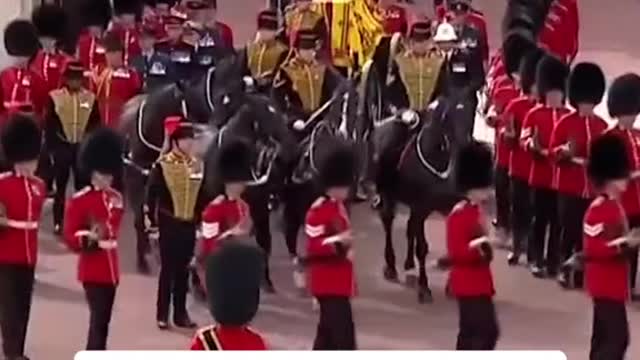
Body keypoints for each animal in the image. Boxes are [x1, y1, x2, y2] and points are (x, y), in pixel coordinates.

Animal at [370, 97, 470, 304]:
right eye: (449, 116)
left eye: (470, 110)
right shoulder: (420, 206)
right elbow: (421, 247)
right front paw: (424, 288)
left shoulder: (443, 205)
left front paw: (450, 279)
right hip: (390, 196)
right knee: (388, 222)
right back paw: (391, 266)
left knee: (410, 228)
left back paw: (408, 262)